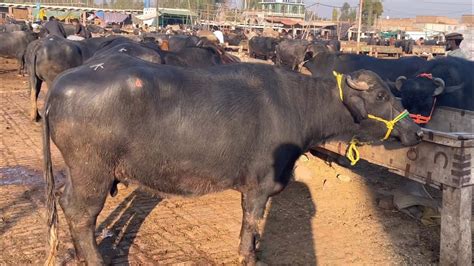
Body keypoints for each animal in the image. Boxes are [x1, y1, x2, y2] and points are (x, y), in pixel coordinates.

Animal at [41, 53, 422, 264]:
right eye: (380, 95)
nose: (414, 132)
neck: (298, 105)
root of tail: (59, 87)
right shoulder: (259, 185)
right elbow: (251, 220)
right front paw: (248, 255)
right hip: (92, 173)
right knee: (80, 213)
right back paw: (93, 259)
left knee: (67, 203)